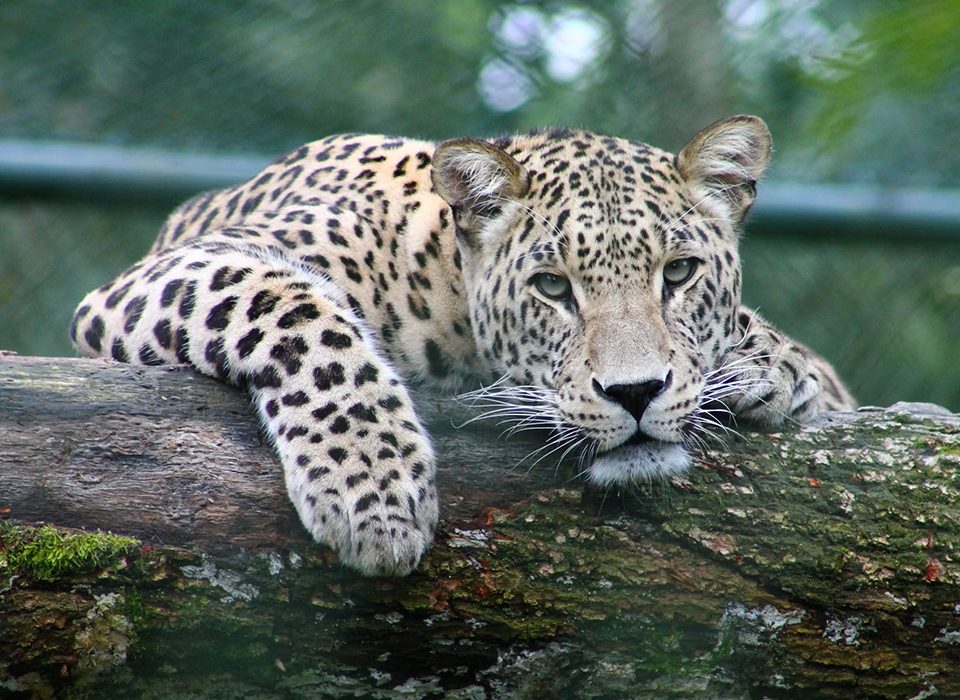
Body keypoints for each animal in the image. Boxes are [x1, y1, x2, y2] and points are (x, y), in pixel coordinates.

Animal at [70, 115, 855, 577]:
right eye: (552, 287)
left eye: (680, 273)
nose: (635, 393)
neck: (443, 283)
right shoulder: (170, 273)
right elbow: (298, 311)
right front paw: (373, 489)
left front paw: (775, 366)